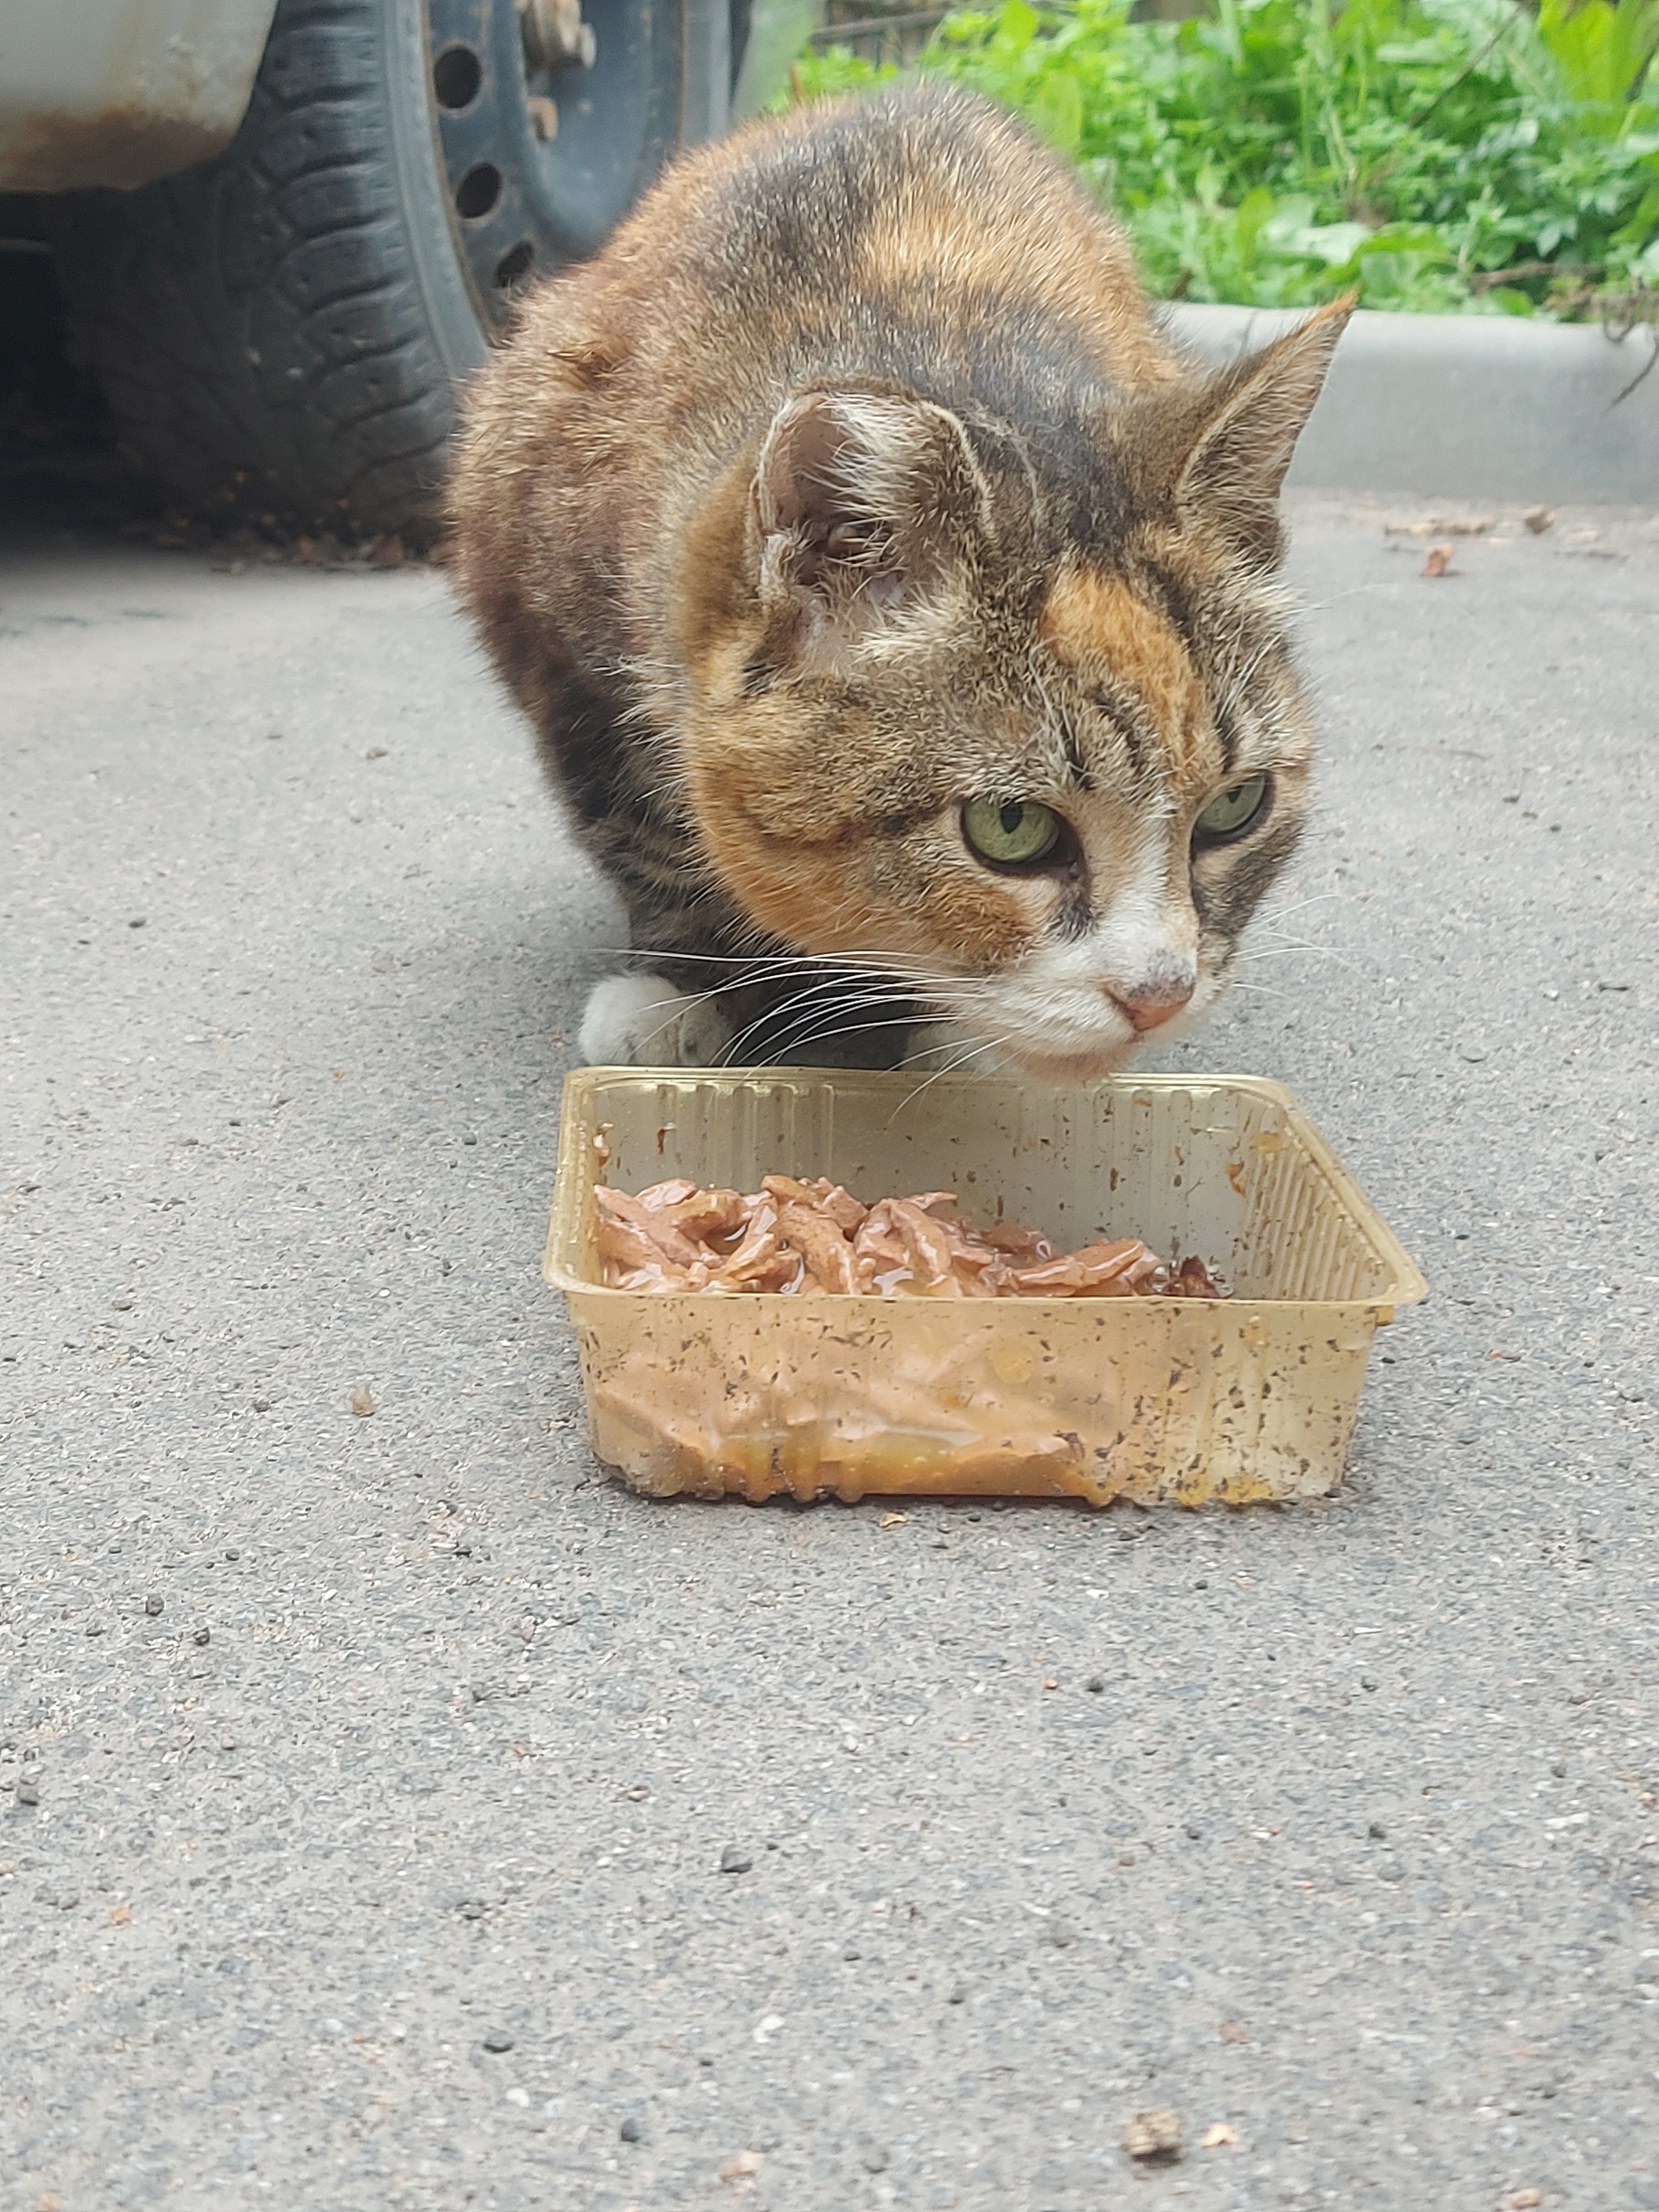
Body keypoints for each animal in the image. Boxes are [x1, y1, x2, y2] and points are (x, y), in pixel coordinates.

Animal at [444, 82, 1354, 1084]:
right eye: (1009, 826)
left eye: (1236, 806)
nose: (1157, 993)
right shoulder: (556, 632)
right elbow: (641, 832)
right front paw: (677, 993)